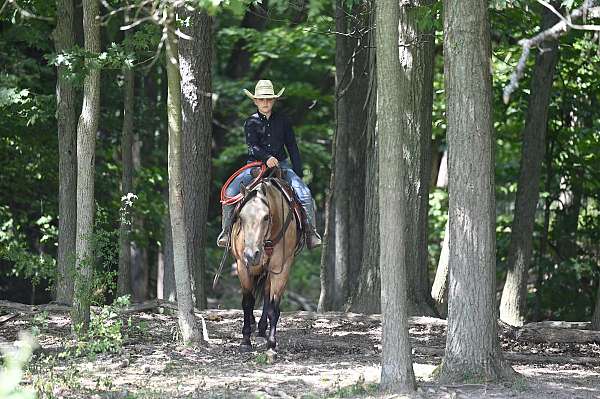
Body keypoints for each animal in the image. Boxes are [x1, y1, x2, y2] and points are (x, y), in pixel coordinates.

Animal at [224, 167, 302, 352]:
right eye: (241, 217)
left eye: (266, 217)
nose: (252, 254)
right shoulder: (242, 266)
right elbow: (247, 302)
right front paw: (245, 340)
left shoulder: (281, 268)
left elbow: (274, 306)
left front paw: (271, 343)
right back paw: (254, 326)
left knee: (266, 295)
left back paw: (261, 328)